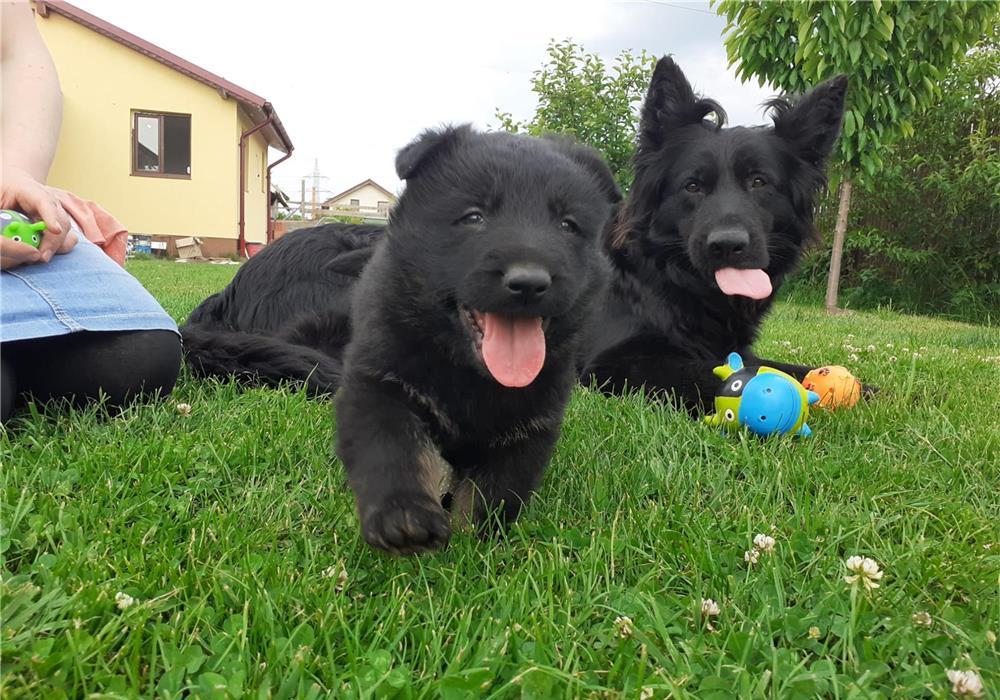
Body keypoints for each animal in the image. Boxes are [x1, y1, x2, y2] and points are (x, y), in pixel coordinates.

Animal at [183, 126, 621, 554]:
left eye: (567, 225)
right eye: (474, 217)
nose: (529, 282)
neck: (466, 371)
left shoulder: (530, 424)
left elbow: (494, 490)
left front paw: (472, 546)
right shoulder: (380, 383)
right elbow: (394, 450)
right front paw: (405, 515)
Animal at [580, 57, 850, 410]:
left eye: (759, 182)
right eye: (692, 186)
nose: (727, 246)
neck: (664, 281)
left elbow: (783, 368)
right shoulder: (609, 363)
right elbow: (715, 375)